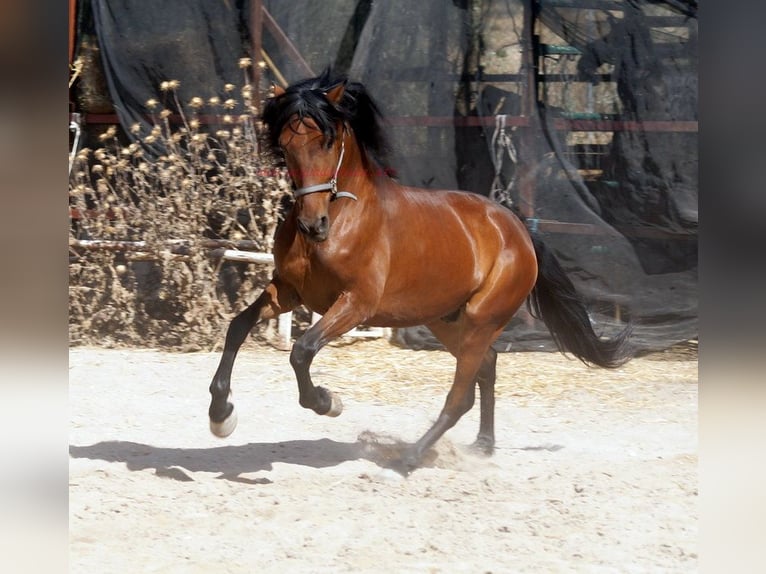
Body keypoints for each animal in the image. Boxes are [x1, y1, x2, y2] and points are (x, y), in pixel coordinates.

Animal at [208, 68, 631, 473]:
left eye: (327, 142)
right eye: (284, 144)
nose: (314, 225)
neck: (344, 217)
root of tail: (517, 228)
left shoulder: (356, 305)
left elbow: (302, 351)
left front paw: (327, 401)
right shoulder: (288, 291)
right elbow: (238, 326)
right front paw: (220, 415)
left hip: (481, 320)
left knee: (461, 395)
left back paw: (409, 458)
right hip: (444, 319)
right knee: (487, 367)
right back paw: (482, 446)